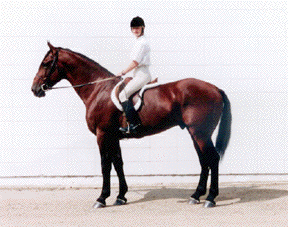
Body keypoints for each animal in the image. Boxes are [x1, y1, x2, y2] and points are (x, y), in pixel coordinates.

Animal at [31, 41, 232, 208]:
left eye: (46, 63)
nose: (35, 89)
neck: (98, 89)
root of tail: (215, 88)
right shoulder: (113, 137)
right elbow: (118, 163)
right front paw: (121, 197)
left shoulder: (103, 134)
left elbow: (105, 165)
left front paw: (101, 198)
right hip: (195, 133)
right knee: (204, 161)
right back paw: (196, 196)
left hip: (201, 133)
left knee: (213, 159)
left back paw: (211, 198)